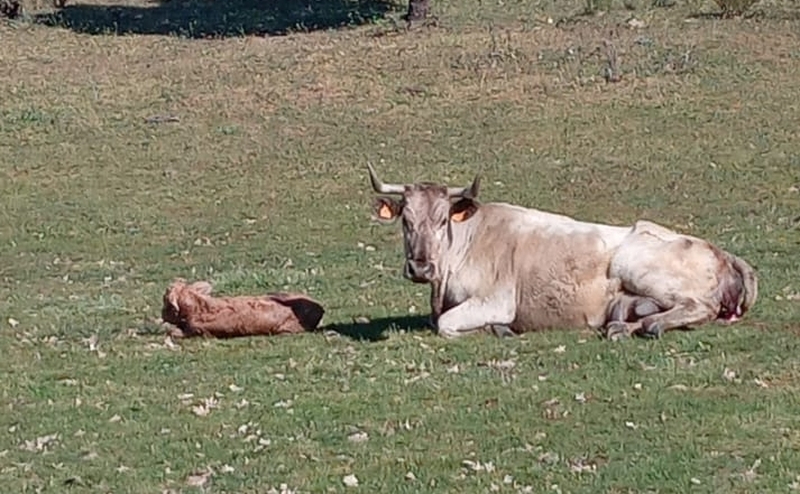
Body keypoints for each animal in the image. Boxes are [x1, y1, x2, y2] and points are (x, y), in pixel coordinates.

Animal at [366, 164, 758, 340]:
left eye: (442, 219)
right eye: (406, 220)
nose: (420, 267)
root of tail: (723, 254)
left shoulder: (497, 300)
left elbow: (447, 324)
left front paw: (493, 329)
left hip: (635, 264)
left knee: (699, 308)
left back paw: (650, 325)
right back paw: (625, 325)